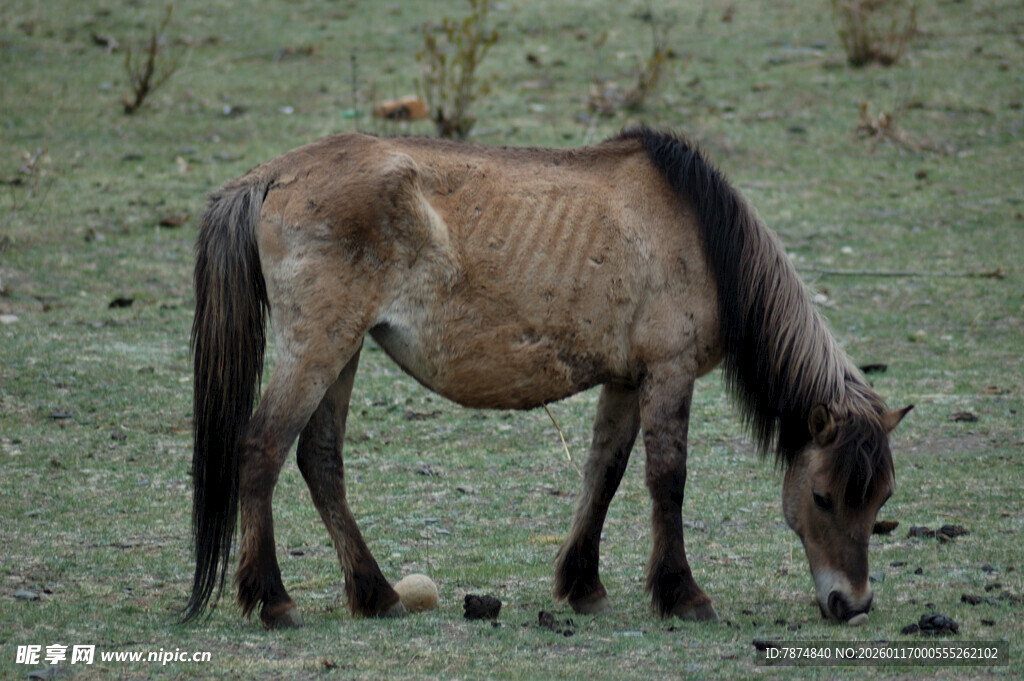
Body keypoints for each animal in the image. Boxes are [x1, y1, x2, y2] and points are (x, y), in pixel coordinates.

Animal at [182, 126, 911, 629]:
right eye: (822, 497)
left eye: (879, 501)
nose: (851, 603)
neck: (700, 235)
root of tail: (273, 175)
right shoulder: (668, 373)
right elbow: (667, 481)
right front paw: (683, 594)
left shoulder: (626, 381)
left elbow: (603, 476)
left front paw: (584, 586)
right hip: (319, 349)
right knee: (263, 449)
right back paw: (274, 601)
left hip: (343, 351)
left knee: (320, 459)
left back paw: (377, 594)